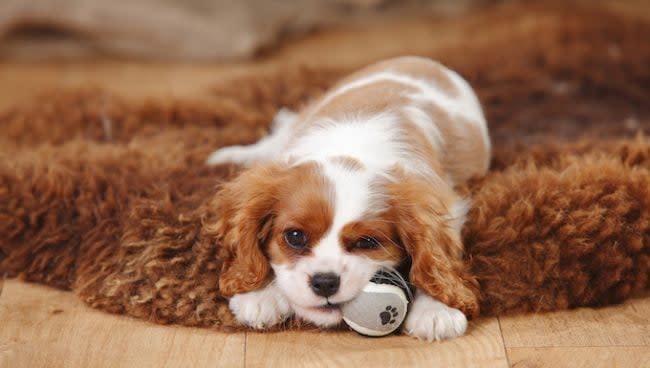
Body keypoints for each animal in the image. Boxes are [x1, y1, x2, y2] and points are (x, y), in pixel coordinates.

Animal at [205, 56, 488, 340]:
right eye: (295, 237)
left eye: (367, 242)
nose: (324, 282)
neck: (351, 148)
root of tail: (421, 60)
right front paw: (261, 294)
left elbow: (437, 257)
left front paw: (436, 309)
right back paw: (229, 156)